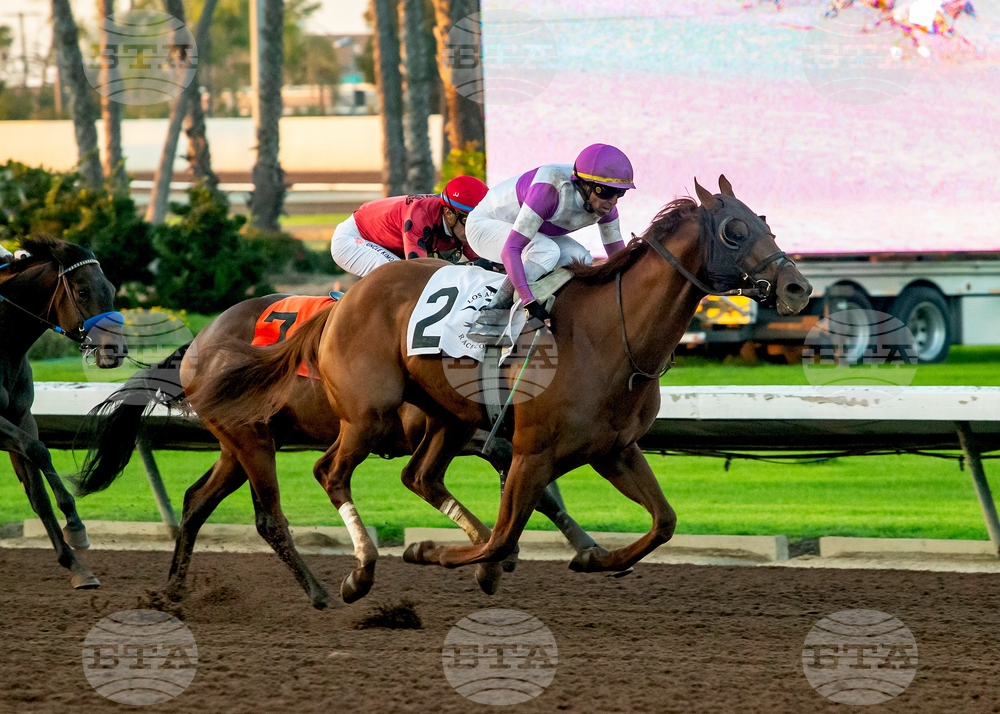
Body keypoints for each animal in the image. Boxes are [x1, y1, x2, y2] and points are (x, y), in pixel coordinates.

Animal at [0, 236, 127, 589]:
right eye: (82, 291)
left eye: (110, 287)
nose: (115, 350)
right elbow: (38, 450)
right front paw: (76, 528)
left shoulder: (21, 418)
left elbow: (38, 494)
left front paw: (76, 563)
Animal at [75, 292, 597, 609]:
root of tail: (197, 344)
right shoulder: (439, 428)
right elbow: (516, 470)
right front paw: (513, 551)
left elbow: (526, 478)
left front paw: (577, 546)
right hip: (251, 440)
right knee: (268, 518)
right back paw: (319, 591)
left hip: (240, 443)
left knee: (196, 501)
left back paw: (174, 588)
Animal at [189, 177, 814, 596]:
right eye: (735, 229)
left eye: (763, 219)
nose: (798, 288)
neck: (612, 334)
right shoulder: (530, 451)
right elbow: (504, 535)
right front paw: (434, 552)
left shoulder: (613, 450)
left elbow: (663, 523)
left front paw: (591, 558)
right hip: (358, 416)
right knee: (327, 474)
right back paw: (355, 575)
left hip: (440, 417)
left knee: (412, 475)